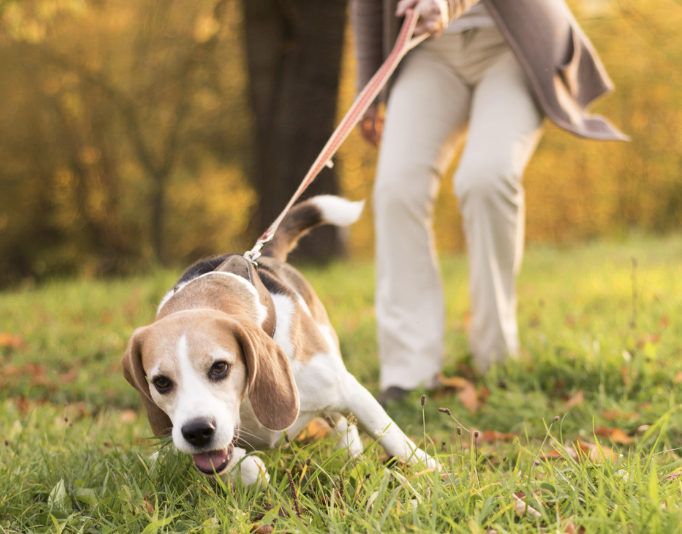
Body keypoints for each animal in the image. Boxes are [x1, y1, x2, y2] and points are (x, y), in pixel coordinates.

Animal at [120, 197, 432, 486]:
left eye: (220, 367)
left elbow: (393, 438)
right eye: (161, 382)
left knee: (345, 424)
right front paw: (250, 470)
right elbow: (229, 462)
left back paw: (352, 455)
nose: (197, 431)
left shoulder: (348, 390)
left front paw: (431, 473)